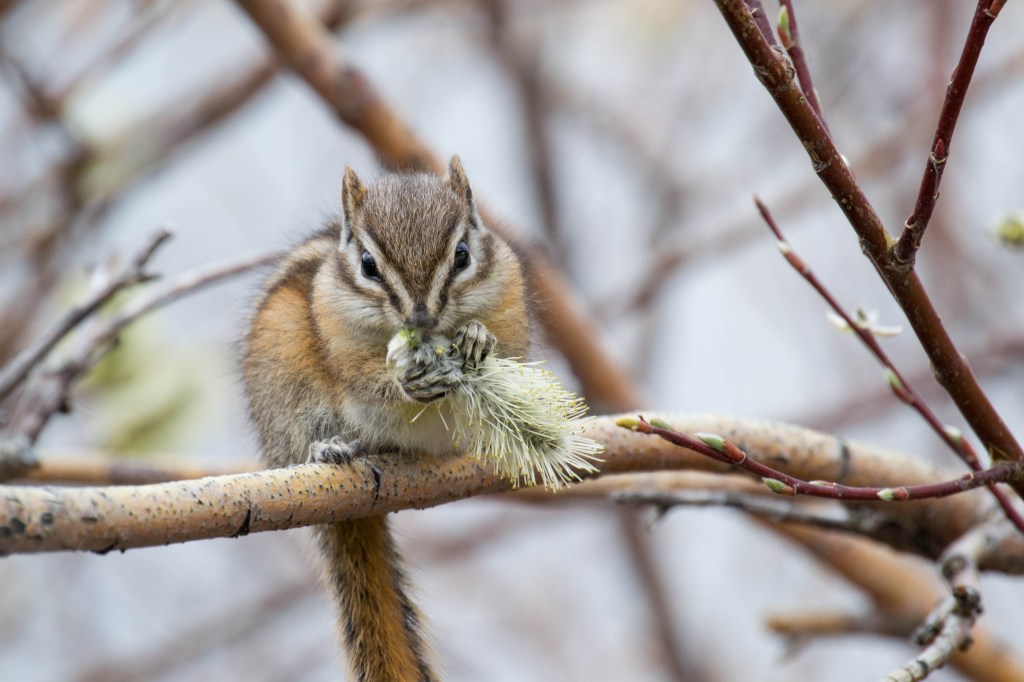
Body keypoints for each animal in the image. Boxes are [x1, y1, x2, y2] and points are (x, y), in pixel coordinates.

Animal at [243, 156, 529, 681]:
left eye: (462, 255)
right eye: (368, 265)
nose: (420, 318)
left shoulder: (510, 301)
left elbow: (505, 349)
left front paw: (478, 337)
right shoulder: (340, 345)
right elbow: (364, 381)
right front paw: (405, 382)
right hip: (285, 386)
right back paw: (332, 448)